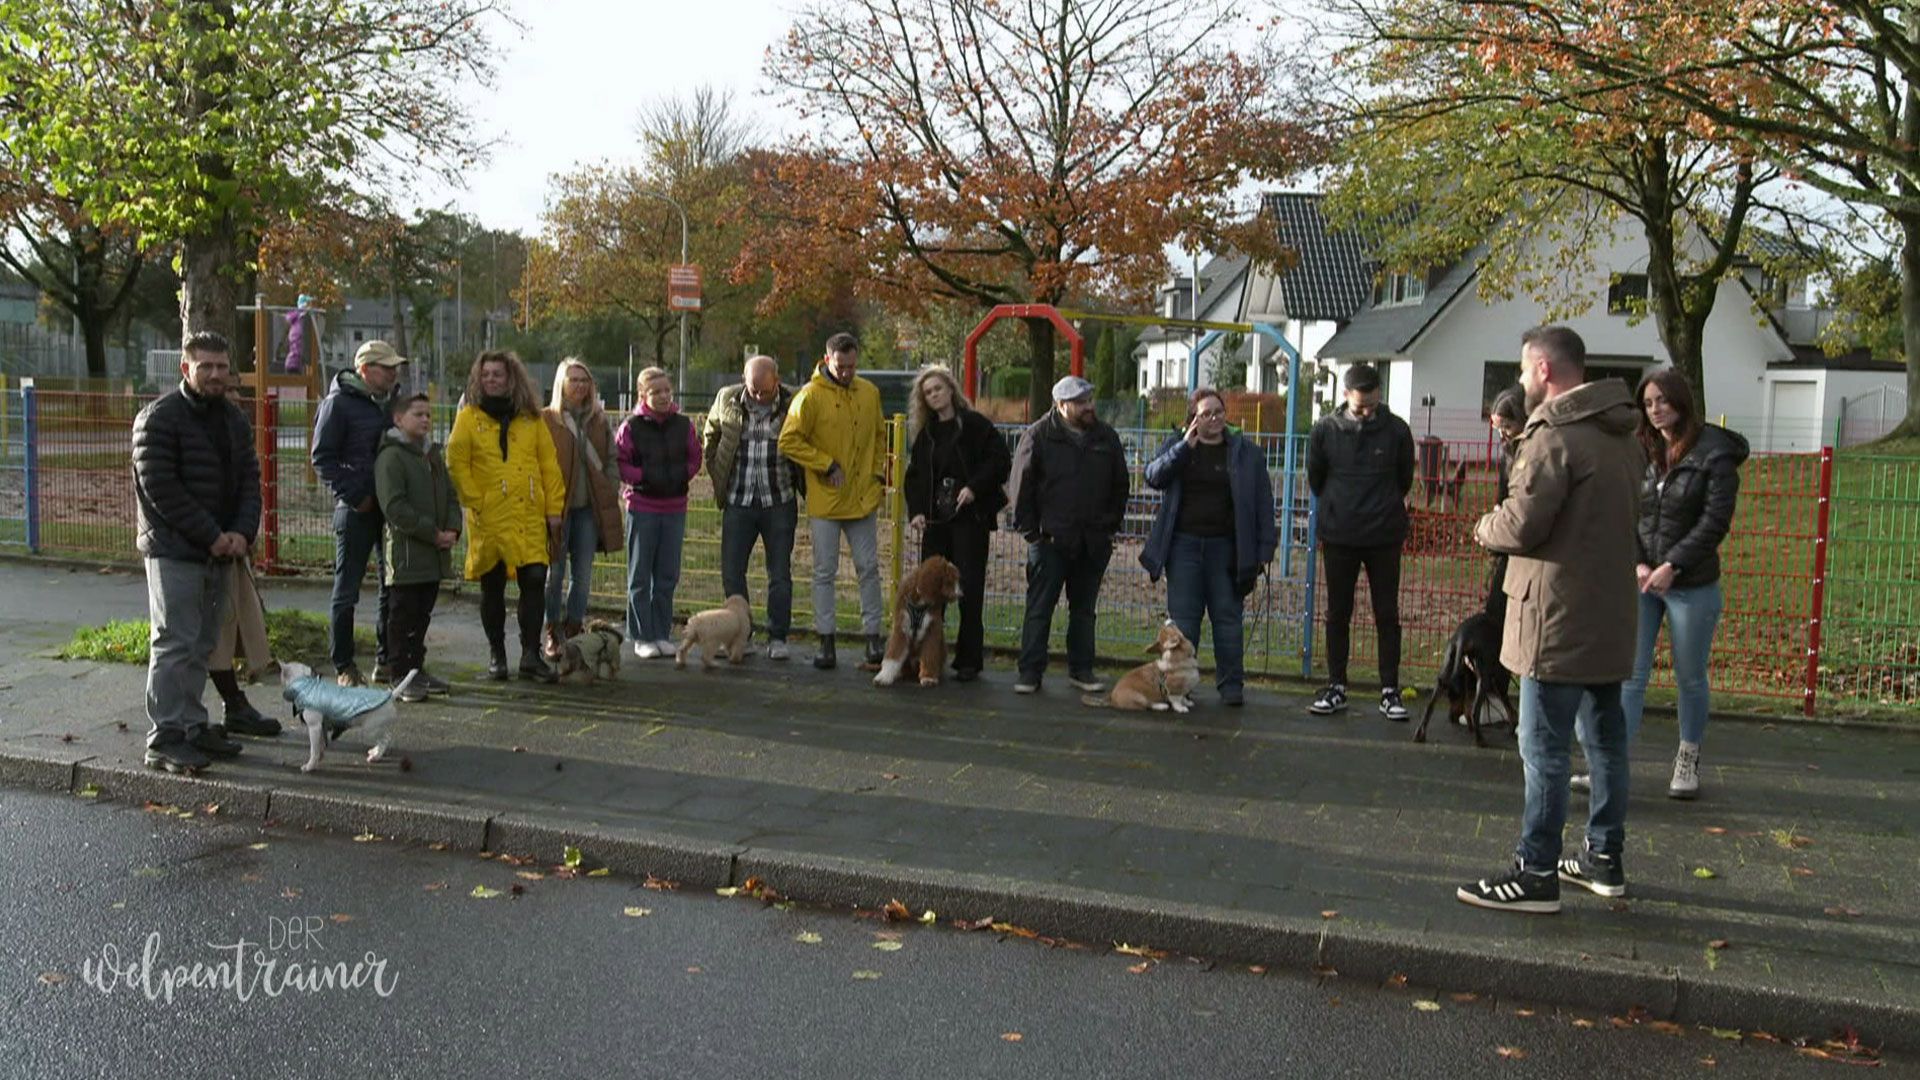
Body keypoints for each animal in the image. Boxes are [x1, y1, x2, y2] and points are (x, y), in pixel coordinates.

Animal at [274, 657, 412, 764]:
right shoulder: (321, 727)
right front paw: (319, 758)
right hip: (376, 728)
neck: (306, 685)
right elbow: (320, 746)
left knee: (385, 739)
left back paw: (376, 756)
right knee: (384, 737)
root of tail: (391, 695)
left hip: (370, 730)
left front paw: (309, 766)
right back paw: (375, 751)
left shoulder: (314, 727)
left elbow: (313, 749)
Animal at [875, 549, 956, 684]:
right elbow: (894, 652)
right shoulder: (901, 625)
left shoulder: (932, 629)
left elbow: (930, 653)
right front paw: (884, 676)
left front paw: (928, 677)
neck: (919, 600)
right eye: (951, 579)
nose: (961, 593)